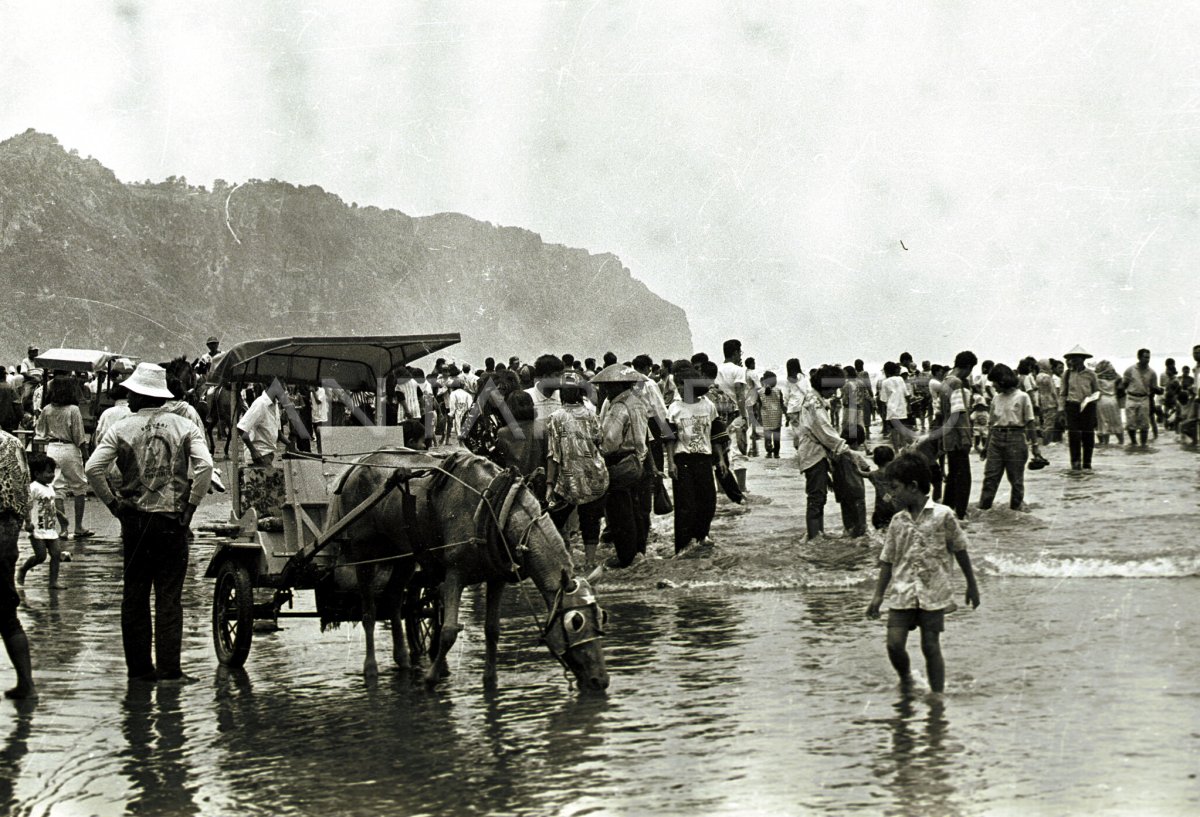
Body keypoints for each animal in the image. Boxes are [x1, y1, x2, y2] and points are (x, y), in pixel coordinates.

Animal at [326, 446, 609, 686]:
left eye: (602, 616)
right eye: (576, 621)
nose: (601, 680)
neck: (497, 509)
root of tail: (356, 466)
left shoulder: (497, 577)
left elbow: (492, 630)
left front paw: (490, 681)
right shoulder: (454, 574)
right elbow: (449, 631)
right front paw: (431, 678)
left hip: (404, 554)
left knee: (395, 600)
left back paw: (404, 660)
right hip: (364, 552)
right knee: (369, 612)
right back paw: (371, 668)